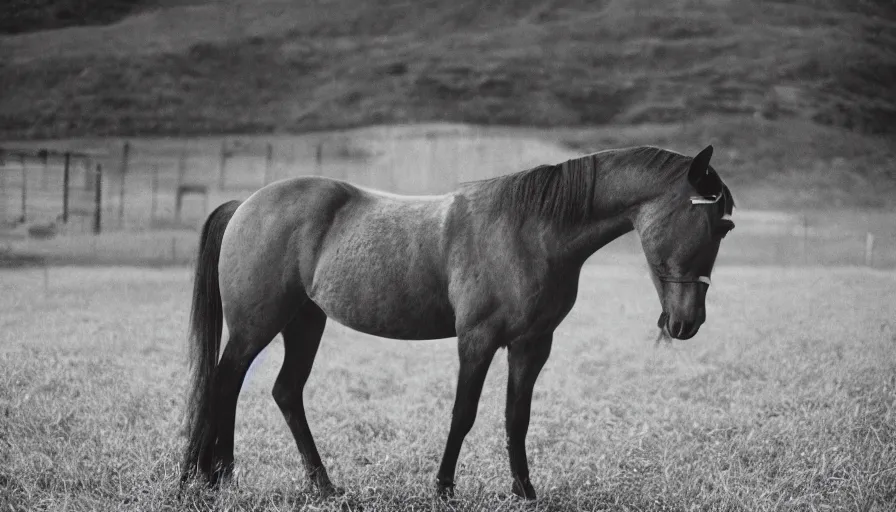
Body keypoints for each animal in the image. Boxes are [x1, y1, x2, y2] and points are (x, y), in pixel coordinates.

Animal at [180, 144, 736, 500]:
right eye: (715, 222)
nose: (687, 322)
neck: (530, 231)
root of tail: (246, 204)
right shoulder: (477, 339)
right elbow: (463, 414)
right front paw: (444, 487)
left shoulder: (532, 345)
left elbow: (516, 417)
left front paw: (524, 489)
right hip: (257, 325)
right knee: (224, 382)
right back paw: (209, 477)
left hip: (304, 323)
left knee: (283, 392)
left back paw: (316, 484)